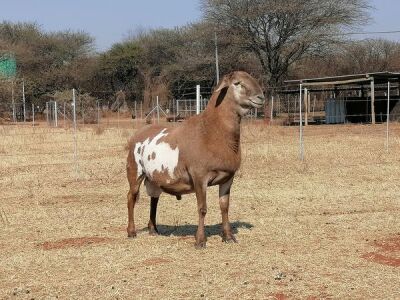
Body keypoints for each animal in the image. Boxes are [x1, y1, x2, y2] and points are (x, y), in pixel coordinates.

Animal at [126, 71, 266, 248]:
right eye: (237, 83)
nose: (261, 97)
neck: (212, 130)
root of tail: (139, 133)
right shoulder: (199, 176)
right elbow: (202, 208)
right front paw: (200, 240)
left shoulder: (228, 177)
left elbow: (224, 207)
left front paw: (228, 237)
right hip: (134, 169)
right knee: (131, 197)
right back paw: (131, 232)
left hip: (154, 177)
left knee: (154, 198)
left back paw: (153, 229)